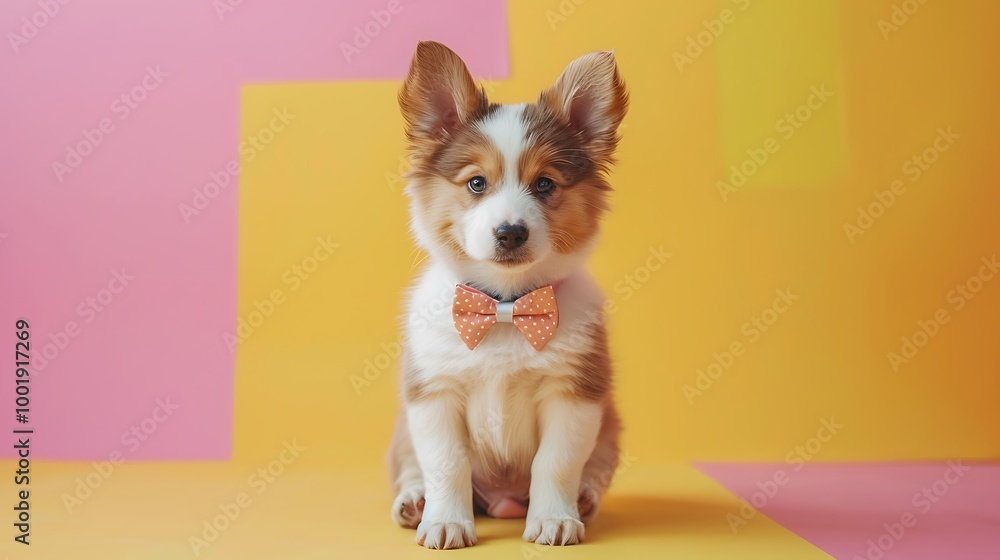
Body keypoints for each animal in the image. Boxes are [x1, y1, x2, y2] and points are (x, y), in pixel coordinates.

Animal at [388, 41, 628, 548]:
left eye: (545, 184)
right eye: (477, 182)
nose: (511, 233)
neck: (504, 307)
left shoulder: (574, 395)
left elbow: (556, 463)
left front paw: (555, 519)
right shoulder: (433, 394)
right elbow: (447, 464)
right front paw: (445, 522)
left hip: (611, 428)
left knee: (589, 472)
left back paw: (583, 501)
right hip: (401, 430)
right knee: (412, 468)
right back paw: (414, 501)